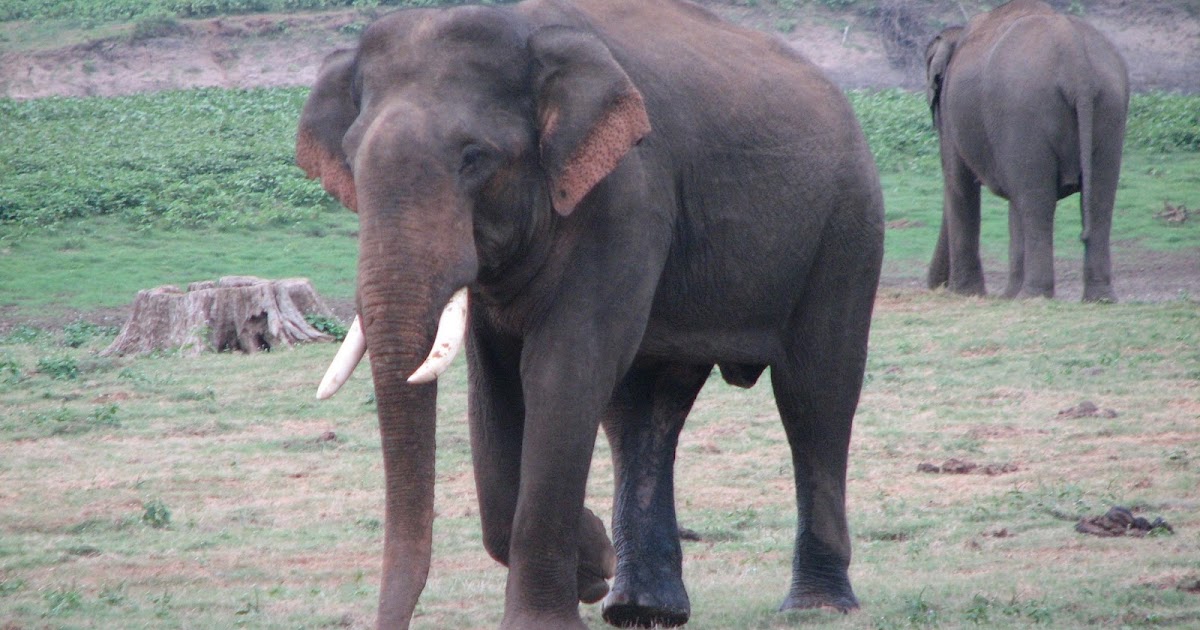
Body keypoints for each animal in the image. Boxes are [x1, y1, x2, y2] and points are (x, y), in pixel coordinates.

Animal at [296, 0, 884, 628]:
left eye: (474, 157)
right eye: (352, 160)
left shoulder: (625, 194)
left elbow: (564, 369)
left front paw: (560, 599)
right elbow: (497, 385)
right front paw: (593, 559)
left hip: (848, 225)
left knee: (815, 393)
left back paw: (818, 605)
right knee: (644, 406)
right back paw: (641, 608)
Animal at [925, 0, 1129, 301]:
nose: (934, 285)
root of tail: (1075, 61)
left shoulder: (953, 114)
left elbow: (958, 182)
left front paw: (967, 294)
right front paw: (1006, 295)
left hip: (1024, 111)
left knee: (1036, 203)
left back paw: (1033, 296)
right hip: (1111, 106)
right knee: (1099, 201)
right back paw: (1099, 298)